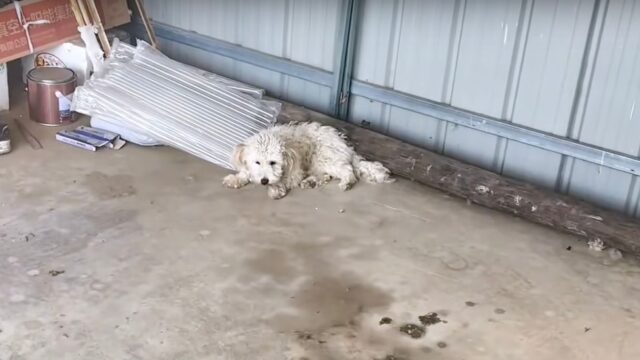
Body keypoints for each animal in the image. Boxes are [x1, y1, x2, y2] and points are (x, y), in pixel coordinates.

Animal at [222, 121, 392, 200]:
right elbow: (246, 172)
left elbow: (284, 180)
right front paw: (236, 178)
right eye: (257, 162)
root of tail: (346, 147)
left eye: (273, 162)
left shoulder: (295, 171)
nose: (264, 181)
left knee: (347, 170)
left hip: (323, 156)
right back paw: (311, 181)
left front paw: (275, 188)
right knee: (326, 175)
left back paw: (347, 182)